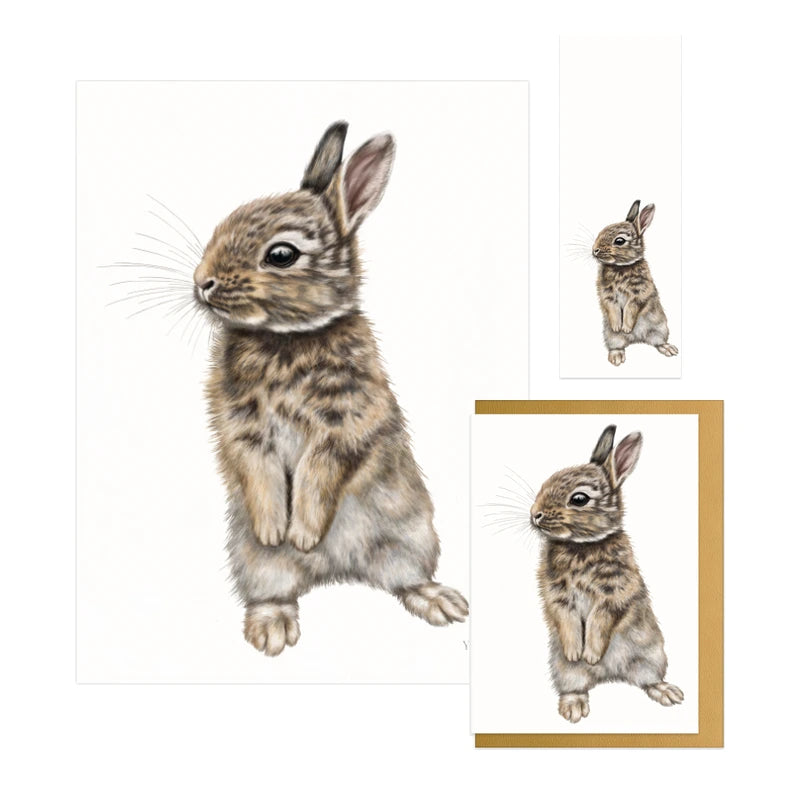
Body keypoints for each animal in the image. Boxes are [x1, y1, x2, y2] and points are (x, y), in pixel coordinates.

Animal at [192, 121, 468, 656]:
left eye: (281, 255)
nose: (202, 282)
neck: (287, 337)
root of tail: (336, 572)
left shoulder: (345, 423)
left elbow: (320, 475)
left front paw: (302, 533)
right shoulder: (242, 427)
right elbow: (257, 470)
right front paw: (276, 529)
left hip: (411, 537)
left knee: (403, 578)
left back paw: (439, 601)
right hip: (253, 561)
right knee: (274, 587)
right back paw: (272, 627)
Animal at [530, 425, 683, 722]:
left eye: (579, 499)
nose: (535, 514)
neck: (582, 545)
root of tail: (610, 675)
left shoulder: (615, 592)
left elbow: (601, 621)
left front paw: (591, 654)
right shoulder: (557, 594)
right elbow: (566, 619)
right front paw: (576, 652)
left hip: (652, 656)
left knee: (647, 680)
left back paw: (666, 692)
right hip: (564, 669)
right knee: (575, 684)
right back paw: (574, 707)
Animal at [593, 200, 679, 366]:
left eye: (619, 241)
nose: (595, 250)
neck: (621, 267)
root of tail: (637, 339)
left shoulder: (640, 292)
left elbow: (631, 307)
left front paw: (626, 327)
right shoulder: (607, 294)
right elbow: (612, 307)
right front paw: (618, 326)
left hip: (660, 329)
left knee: (658, 342)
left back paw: (668, 348)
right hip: (611, 336)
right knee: (617, 345)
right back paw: (616, 357)